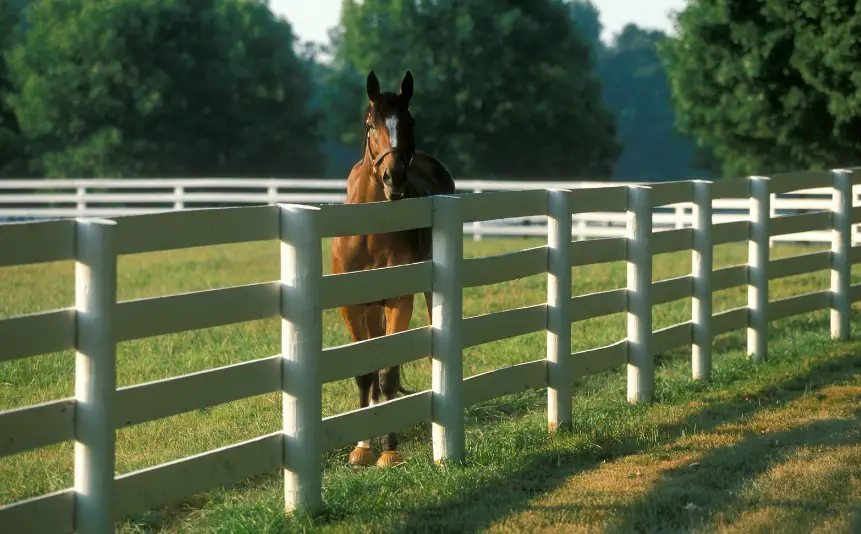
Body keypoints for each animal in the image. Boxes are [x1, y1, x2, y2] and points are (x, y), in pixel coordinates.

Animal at [330, 70, 456, 468]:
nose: (394, 177)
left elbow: (387, 374)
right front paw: (361, 449)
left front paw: (389, 450)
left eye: (409, 122)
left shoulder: (399, 300)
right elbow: (366, 373)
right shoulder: (352, 306)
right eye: (371, 124)